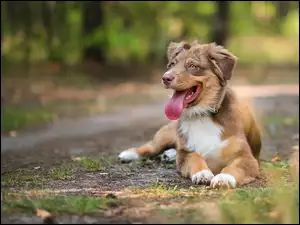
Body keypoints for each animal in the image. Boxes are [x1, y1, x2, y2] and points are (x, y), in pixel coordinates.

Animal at [118, 40, 262, 188]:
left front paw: (224, 178)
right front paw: (202, 173)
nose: (165, 78)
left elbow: (234, 167)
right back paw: (129, 154)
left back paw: (169, 155)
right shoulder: (186, 154)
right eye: (172, 64)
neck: (202, 115)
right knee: (151, 146)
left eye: (192, 66)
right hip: (165, 135)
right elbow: (195, 158)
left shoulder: (247, 158)